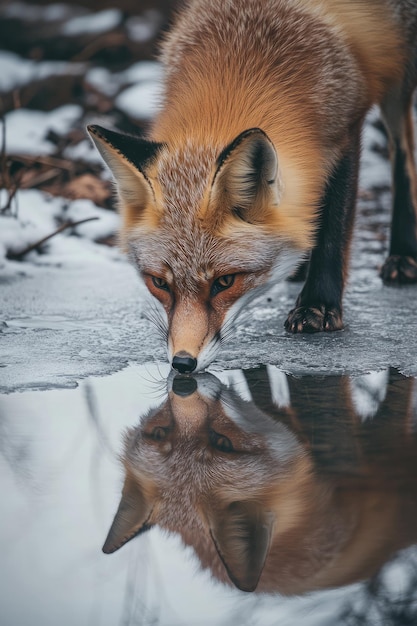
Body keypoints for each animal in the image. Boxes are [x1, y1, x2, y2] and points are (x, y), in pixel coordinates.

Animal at [88, 0, 416, 370]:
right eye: (159, 283)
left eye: (225, 282)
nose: (183, 363)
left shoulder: (346, 129)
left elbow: (333, 230)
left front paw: (318, 305)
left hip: (399, 73)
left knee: (402, 147)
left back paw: (403, 255)